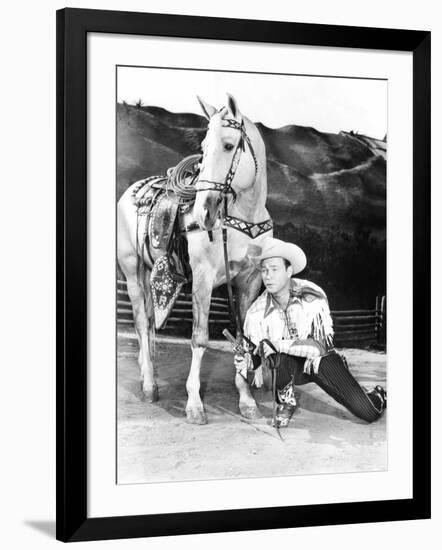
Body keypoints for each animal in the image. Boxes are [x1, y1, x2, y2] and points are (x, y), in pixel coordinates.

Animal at [119, 94, 272, 426]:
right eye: (203, 147)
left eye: (228, 145)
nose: (204, 212)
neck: (241, 219)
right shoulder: (203, 278)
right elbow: (199, 338)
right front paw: (194, 404)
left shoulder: (249, 281)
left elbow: (244, 337)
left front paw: (247, 400)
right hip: (131, 273)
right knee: (141, 324)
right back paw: (149, 386)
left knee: (146, 321)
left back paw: (145, 373)